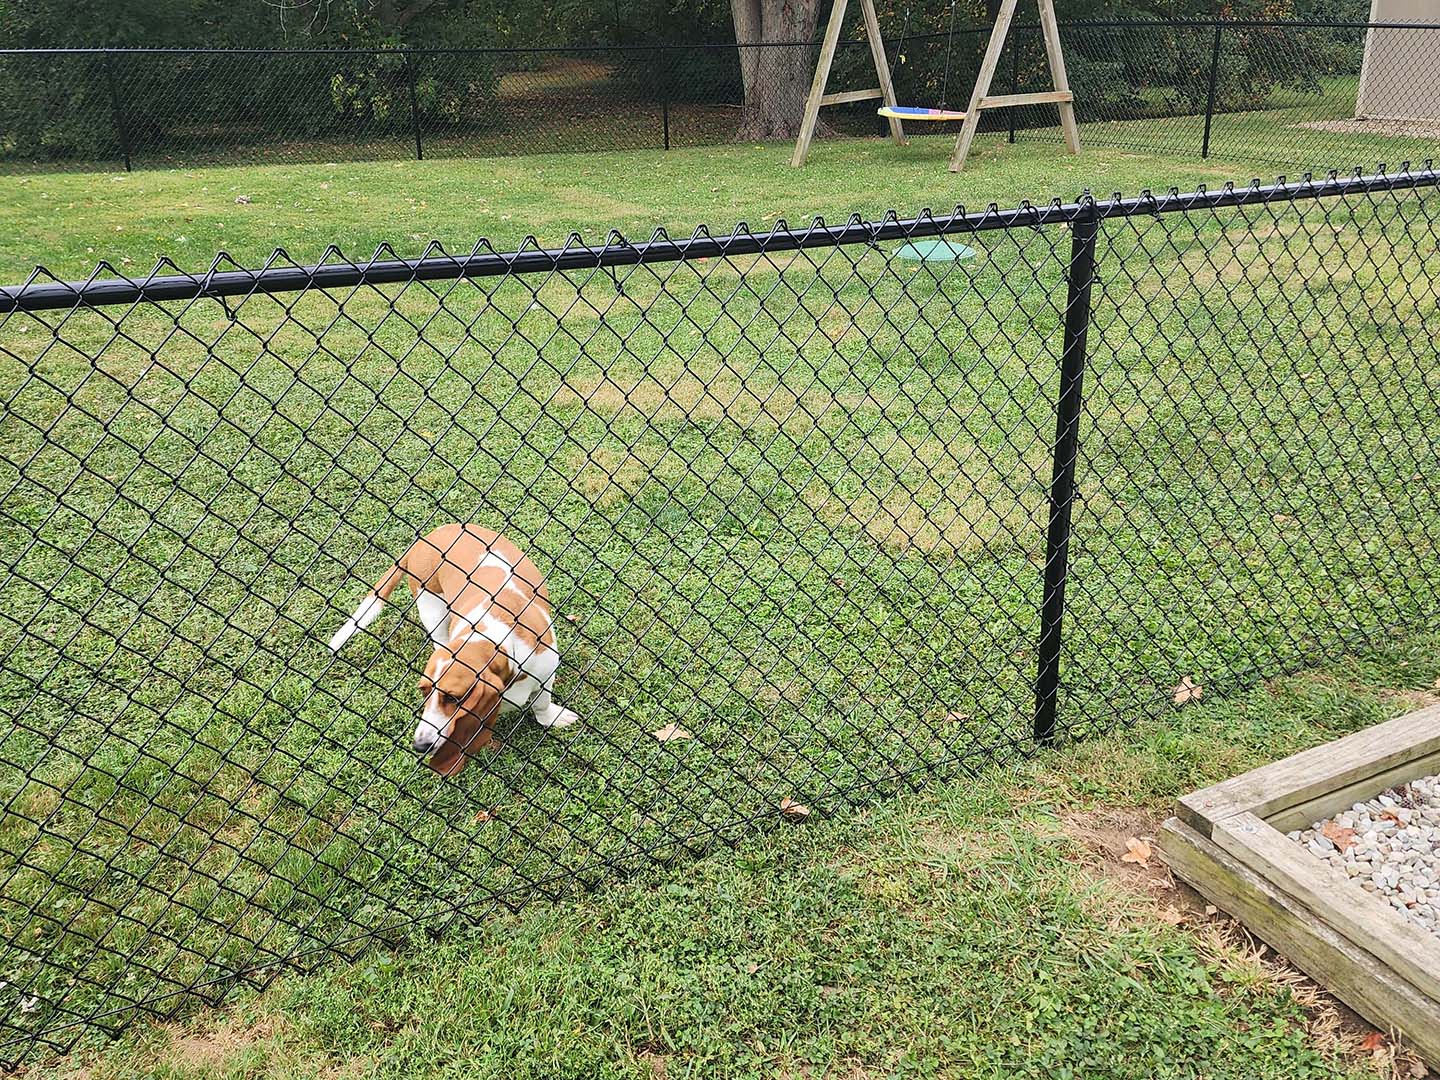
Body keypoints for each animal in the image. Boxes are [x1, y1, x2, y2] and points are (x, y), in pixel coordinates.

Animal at [329, 524, 576, 777]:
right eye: (424, 691)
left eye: (452, 697)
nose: (420, 746)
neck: (493, 637)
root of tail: (426, 538)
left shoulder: (545, 674)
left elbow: (542, 703)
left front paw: (551, 718)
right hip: (431, 607)